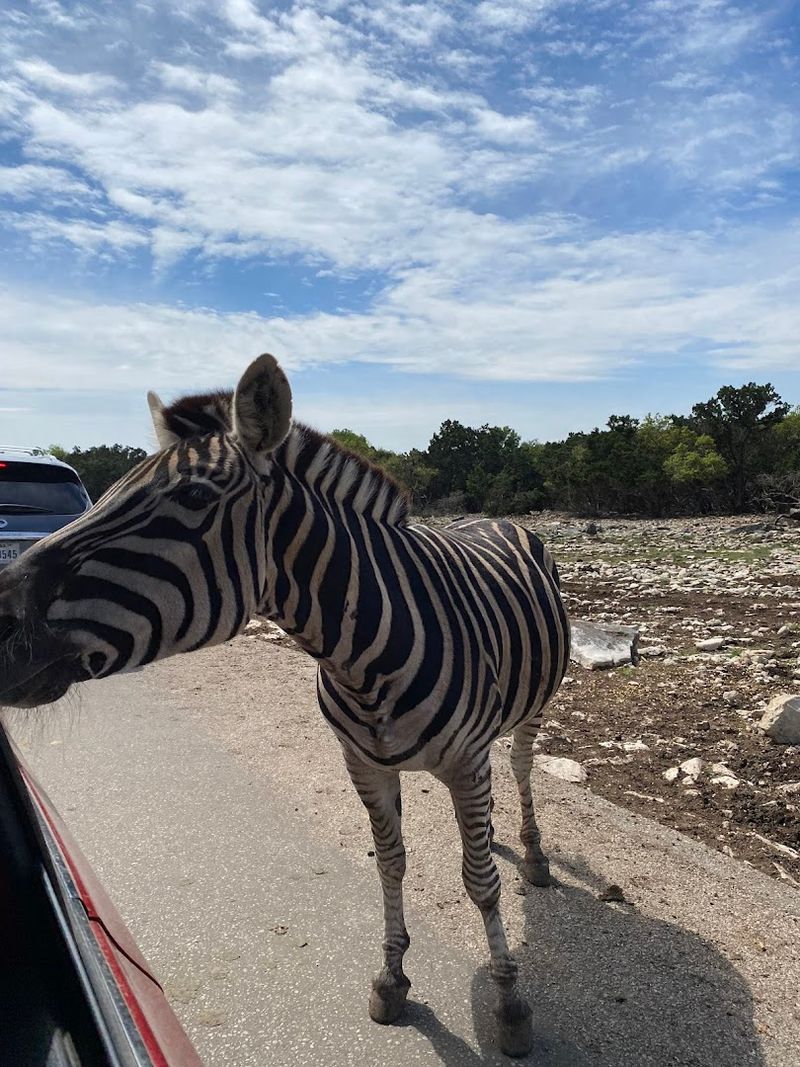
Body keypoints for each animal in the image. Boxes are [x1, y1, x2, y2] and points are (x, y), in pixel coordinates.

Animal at [0, 353, 571, 1057]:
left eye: (193, 498)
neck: (361, 656)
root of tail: (493, 518)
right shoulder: (363, 762)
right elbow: (391, 863)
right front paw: (392, 978)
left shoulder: (465, 764)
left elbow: (480, 881)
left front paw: (510, 1000)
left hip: (534, 706)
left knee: (519, 767)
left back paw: (533, 853)